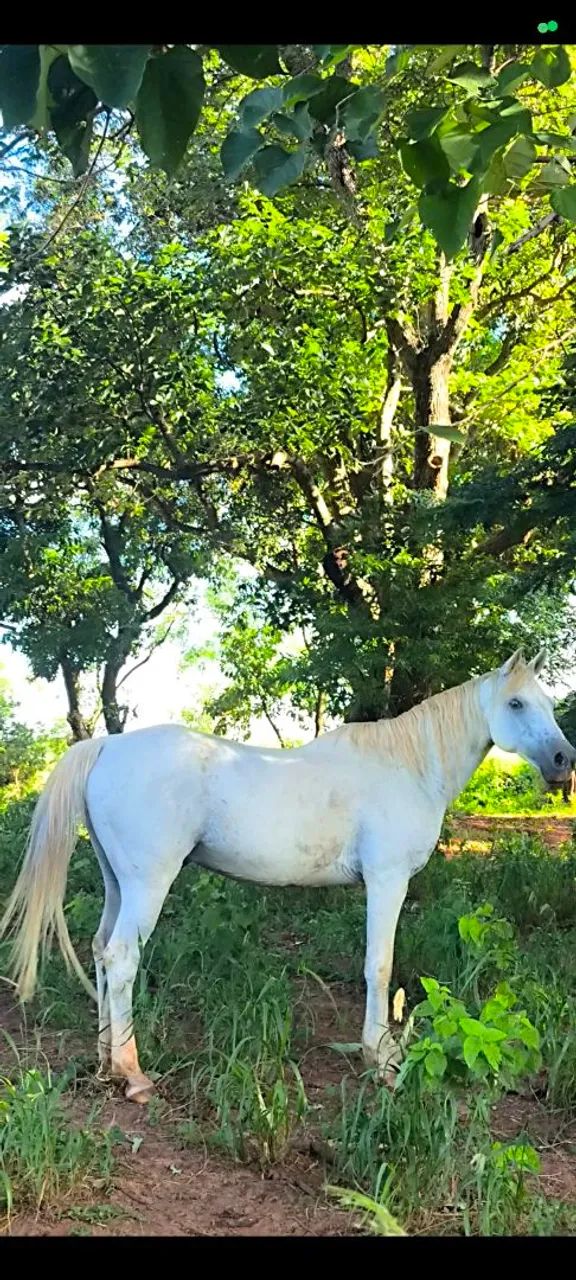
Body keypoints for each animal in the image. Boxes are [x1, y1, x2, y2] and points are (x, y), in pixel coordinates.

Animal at [1, 648, 574, 1104]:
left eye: (548, 703)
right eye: (516, 705)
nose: (563, 759)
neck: (409, 767)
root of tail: (109, 746)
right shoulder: (387, 880)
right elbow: (379, 966)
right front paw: (381, 1059)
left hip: (118, 882)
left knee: (101, 950)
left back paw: (106, 1061)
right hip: (148, 884)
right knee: (121, 959)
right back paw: (133, 1074)